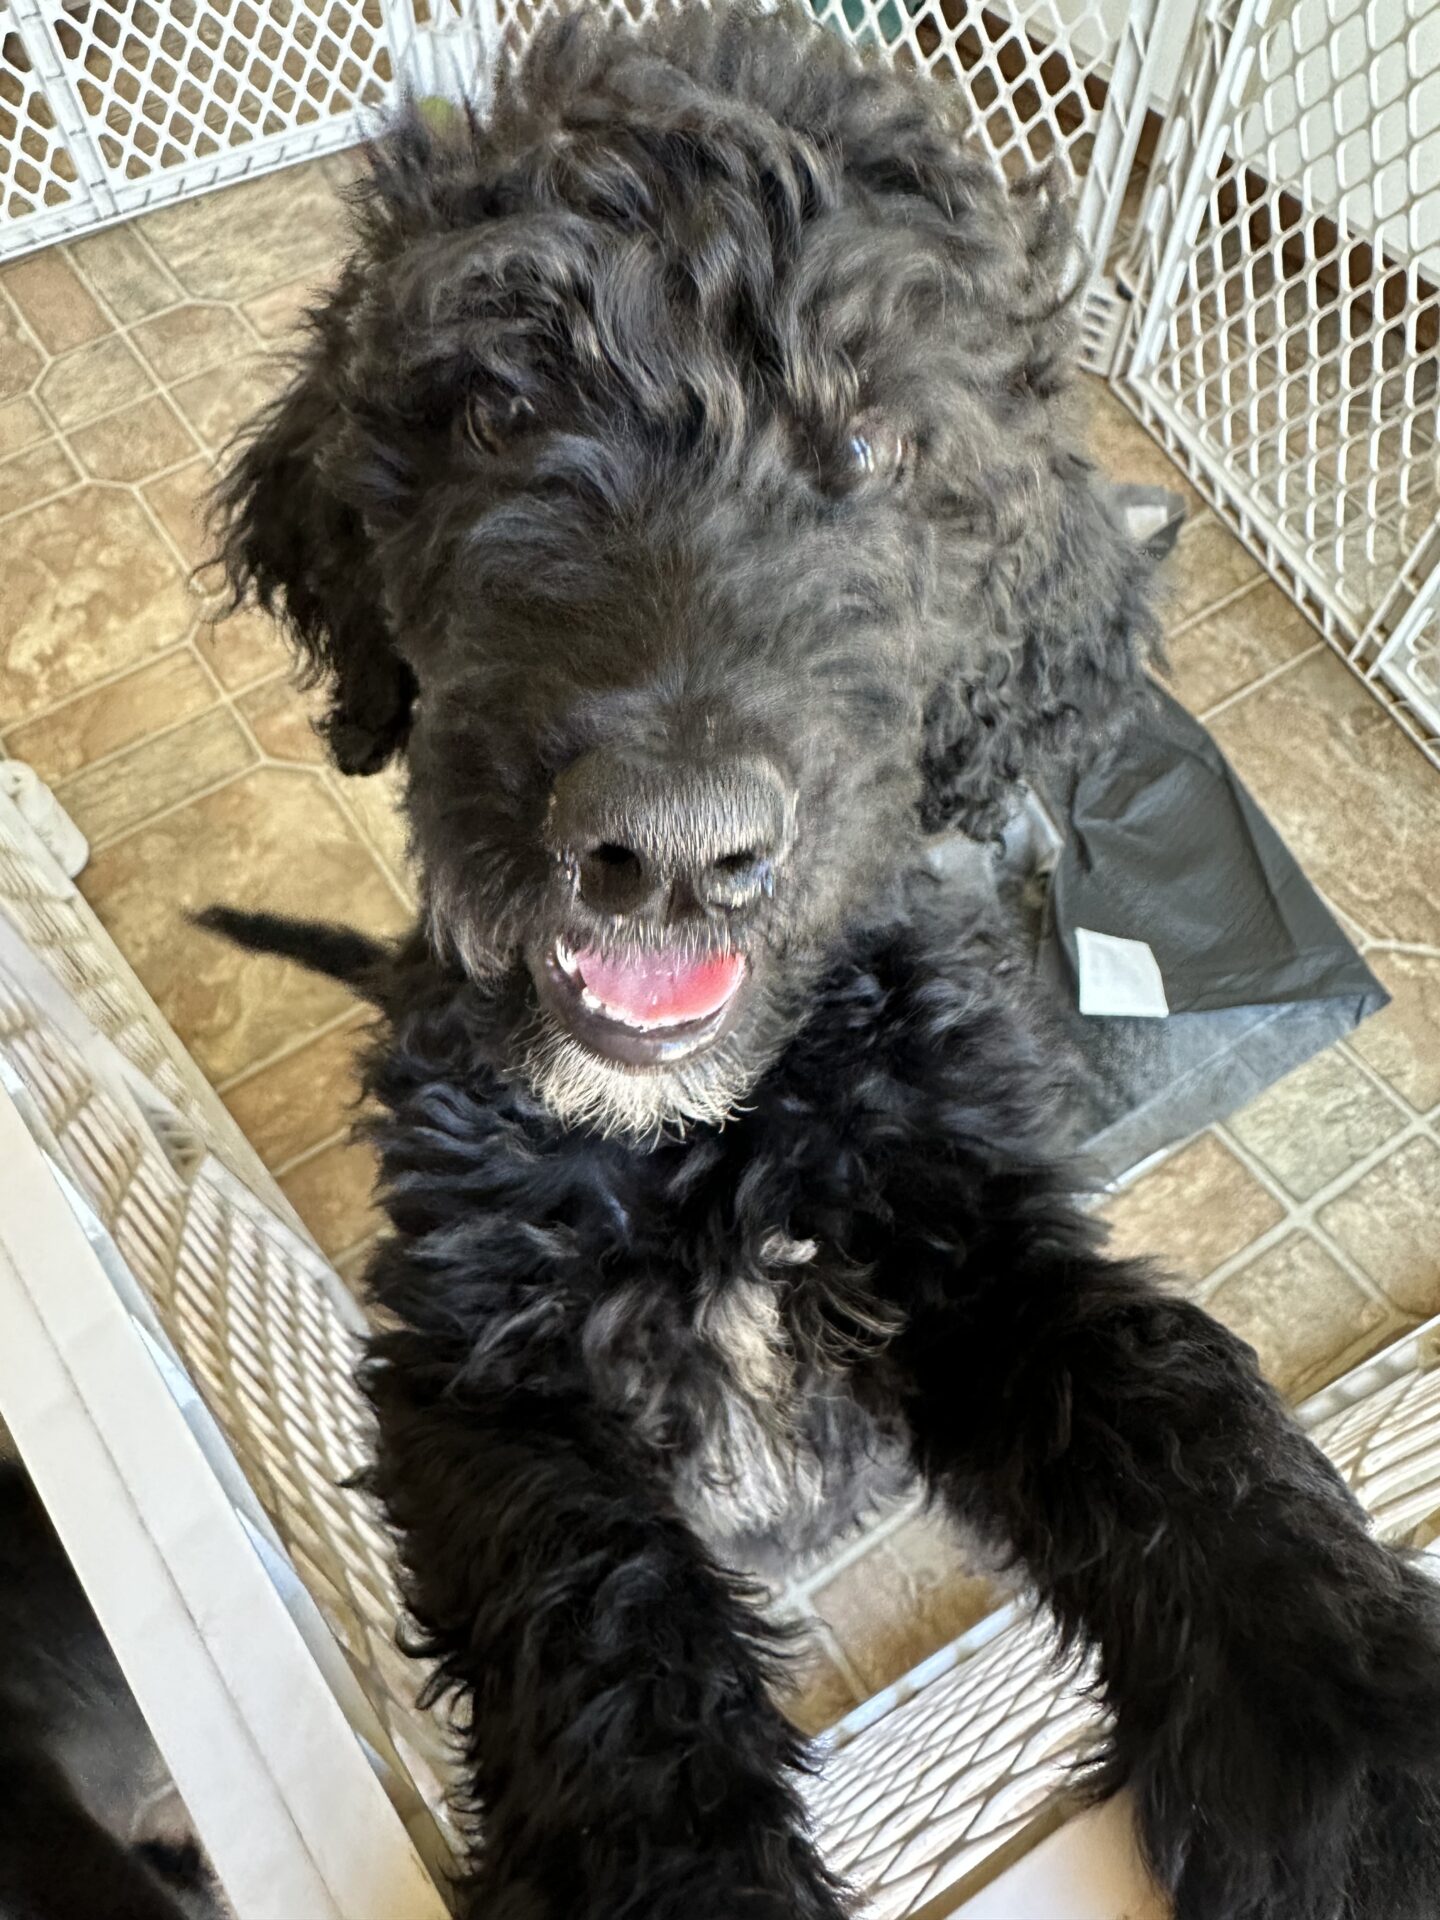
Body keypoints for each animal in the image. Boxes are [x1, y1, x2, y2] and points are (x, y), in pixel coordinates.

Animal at [208, 8, 1440, 1917]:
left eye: (873, 449)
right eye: (499, 408)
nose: (667, 848)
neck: (702, 1139)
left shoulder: (966, 1222)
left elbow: (1159, 1387)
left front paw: (1347, 1748)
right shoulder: (478, 1357)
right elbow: (600, 1617)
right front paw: (683, 1875)